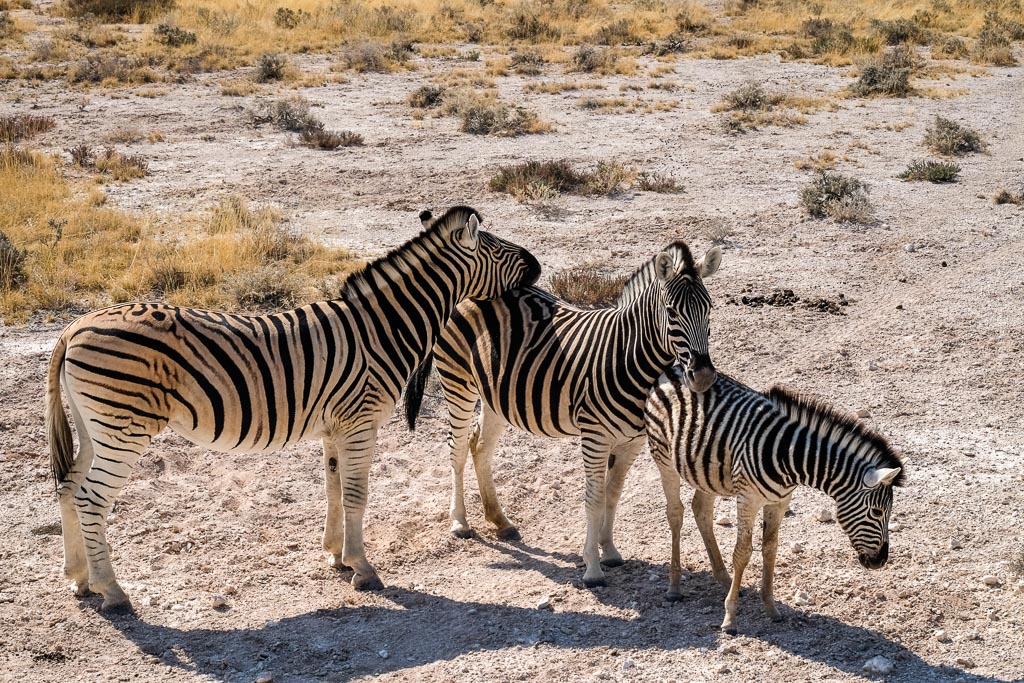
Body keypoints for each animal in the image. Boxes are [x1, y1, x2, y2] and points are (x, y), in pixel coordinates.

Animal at [45, 206, 541, 611]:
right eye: (497, 248)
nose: (538, 266)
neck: (383, 328)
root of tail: (74, 326)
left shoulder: (336, 428)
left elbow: (334, 489)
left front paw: (337, 556)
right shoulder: (360, 422)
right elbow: (357, 494)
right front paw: (364, 569)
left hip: (95, 427)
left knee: (68, 487)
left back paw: (79, 580)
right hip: (123, 427)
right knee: (91, 498)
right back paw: (112, 591)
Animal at [405, 242, 722, 587]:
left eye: (709, 308)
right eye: (671, 311)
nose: (703, 376)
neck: (627, 355)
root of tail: (468, 281)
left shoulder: (632, 441)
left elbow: (613, 493)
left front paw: (609, 550)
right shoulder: (595, 436)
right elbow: (594, 498)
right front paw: (592, 567)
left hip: (496, 394)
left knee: (480, 447)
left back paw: (500, 520)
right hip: (457, 380)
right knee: (458, 448)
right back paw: (460, 523)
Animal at [644, 368, 904, 635]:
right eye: (877, 512)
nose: (881, 561)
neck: (789, 455)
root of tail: (672, 369)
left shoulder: (779, 502)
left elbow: (770, 548)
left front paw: (770, 607)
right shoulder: (748, 499)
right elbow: (743, 552)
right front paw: (730, 618)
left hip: (705, 470)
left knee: (701, 510)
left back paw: (724, 578)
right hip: (664, 458)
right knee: (675, 513)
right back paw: (674, 587)